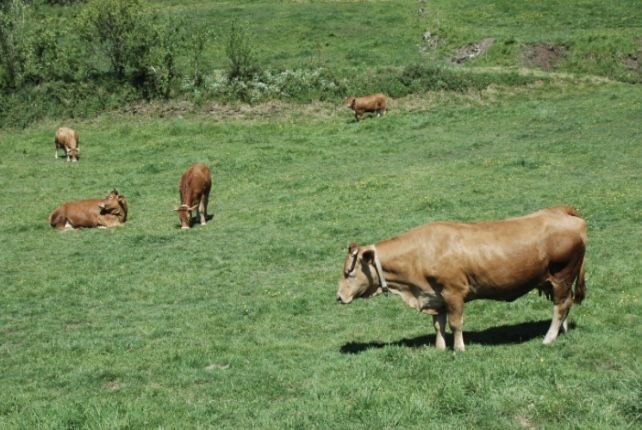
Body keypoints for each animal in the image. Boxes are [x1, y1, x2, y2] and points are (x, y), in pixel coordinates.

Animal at [336, 206, 587, 351]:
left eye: (349, 271)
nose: (338, 296)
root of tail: (562, 211)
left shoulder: (453, 292)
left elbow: (456, 323)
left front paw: (459, 349)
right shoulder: (434, 295)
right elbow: (438, 324)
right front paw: (439, 348)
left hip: (562, 275)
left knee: (561, 305)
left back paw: (549, 338)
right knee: (565, 305)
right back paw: (561, 331)